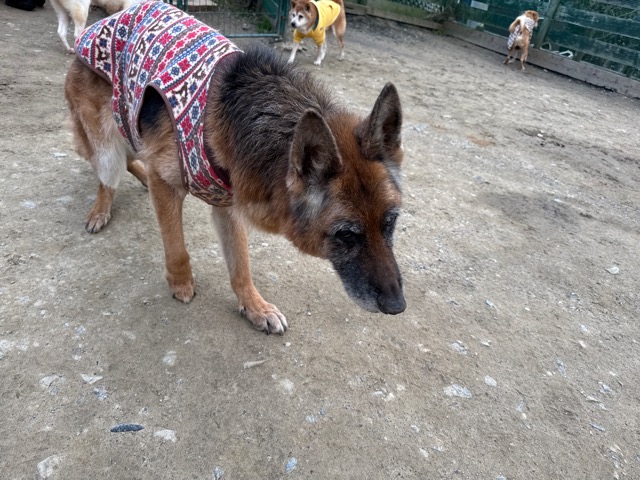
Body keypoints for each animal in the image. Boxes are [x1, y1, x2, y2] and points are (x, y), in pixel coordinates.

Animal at [65, 2, 406, 334]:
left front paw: (255, 307)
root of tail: (98, 27)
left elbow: (241, 265)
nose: (398, 306)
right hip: (106, 143)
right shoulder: (169, 185)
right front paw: (181, 282)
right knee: (108, 176)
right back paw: (101, 209)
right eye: (346, 234)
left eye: (390, 222)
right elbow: (176, 245)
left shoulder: (229, 203)